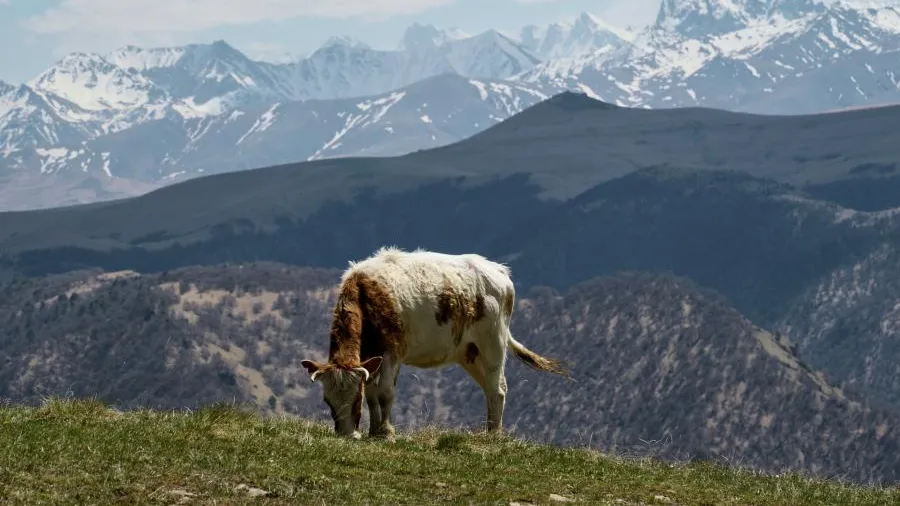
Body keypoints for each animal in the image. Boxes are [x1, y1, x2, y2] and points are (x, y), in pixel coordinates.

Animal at [302, 247, 568, 440]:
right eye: (327, 401)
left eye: (354, 398)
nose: (347, 434)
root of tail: (498, 270)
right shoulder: (372, 359)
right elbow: (374, 394)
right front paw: (374, 430)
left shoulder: (392, 352)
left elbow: (385, 393)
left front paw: (385, 432)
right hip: (469, 353)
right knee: (488, 387)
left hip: (493, 342)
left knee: (498, 388)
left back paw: (493, 435)